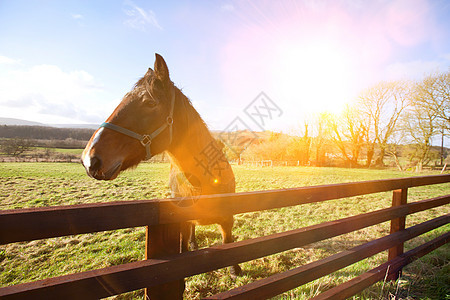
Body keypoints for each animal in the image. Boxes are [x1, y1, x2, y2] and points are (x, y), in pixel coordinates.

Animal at [82, 53, 241, 276]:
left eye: (149, 102)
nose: (90, 159)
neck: (205, 178)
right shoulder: (182, 220)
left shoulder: (228, 218)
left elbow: (229, 242)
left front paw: (235, 269)